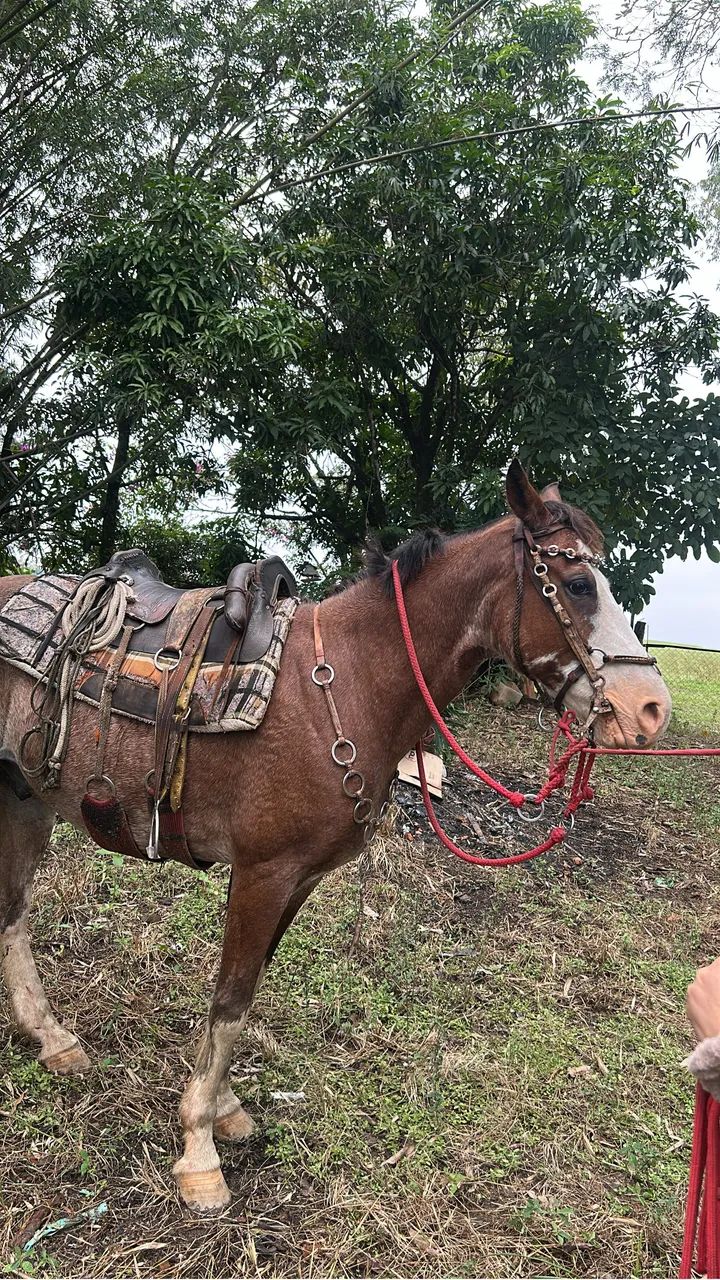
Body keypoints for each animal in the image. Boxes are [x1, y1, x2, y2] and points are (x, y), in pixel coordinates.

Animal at [0, 462, 671, 1213]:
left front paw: (222, 1107)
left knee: (12, 914)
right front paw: (199, 1149)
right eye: (579, 584)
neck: (347, 682)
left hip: (26, 800)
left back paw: (51, 1037)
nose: (652, 709)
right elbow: (231, 999)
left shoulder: (298, 879)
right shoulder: (262, 872)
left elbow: (243, 994)